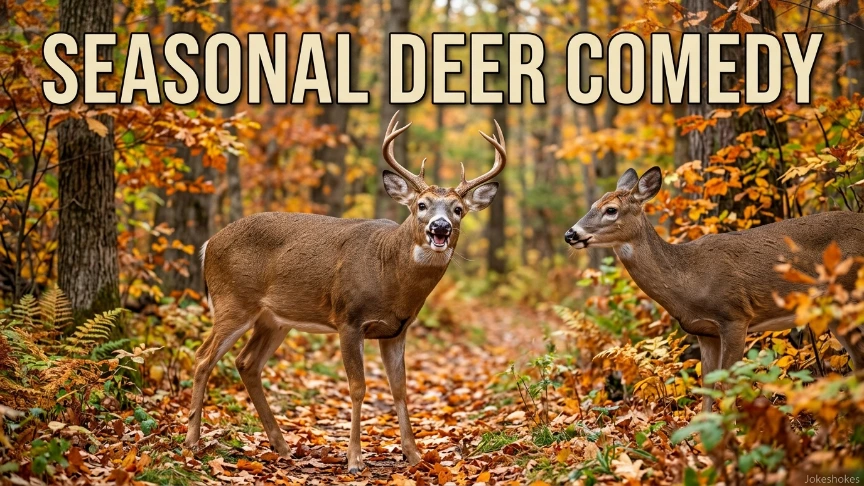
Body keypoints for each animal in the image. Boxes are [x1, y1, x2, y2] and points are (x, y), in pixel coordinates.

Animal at [182, 113, 506, 473]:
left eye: (458, 209)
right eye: (421, 205)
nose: (440, 227)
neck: (389, 274)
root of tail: (208, 244)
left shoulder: (397, 330)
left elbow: (400, 389)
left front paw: (414, 455)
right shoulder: (349, 319)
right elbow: (358, 388)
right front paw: (354, 459)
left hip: (273, 319)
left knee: (247, 363)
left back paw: (281, 445)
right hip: (233, 300)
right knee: (202, 358)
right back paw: (192, 441)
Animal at [565, 166, 864, 411]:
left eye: (611, 210)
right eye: (592, 205)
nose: (571, 234)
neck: (688, 280)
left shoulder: (735, 317)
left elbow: (728, 384)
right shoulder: (704, 331)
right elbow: (706, 387)